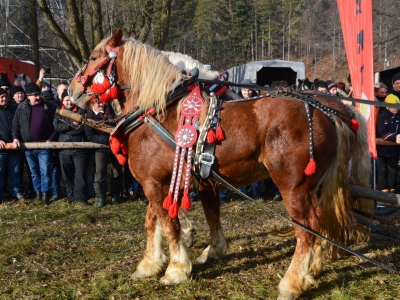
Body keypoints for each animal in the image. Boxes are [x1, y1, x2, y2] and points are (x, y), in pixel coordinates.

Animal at [69, 28, 376, 300]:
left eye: (94, 57)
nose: (71, 91)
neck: (159, 110)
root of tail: (327, 112)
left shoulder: (155, 182)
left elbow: (168, 224)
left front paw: (176, 269)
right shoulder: (170, 181)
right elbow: (161, 220)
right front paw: (152, 264)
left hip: (293, 185)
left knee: (307, 229)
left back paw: (292, 283)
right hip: (315, 186)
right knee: (320, 223)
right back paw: (313, 269)